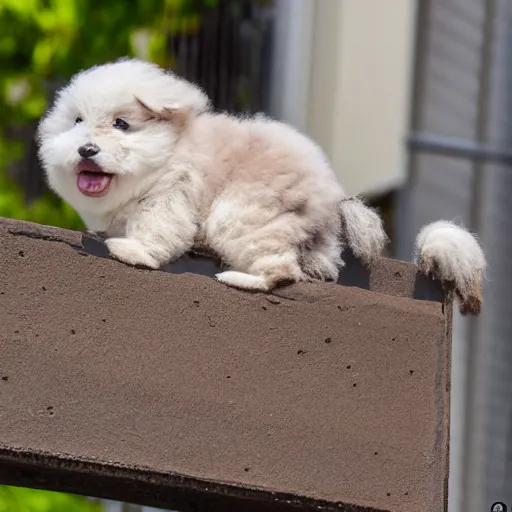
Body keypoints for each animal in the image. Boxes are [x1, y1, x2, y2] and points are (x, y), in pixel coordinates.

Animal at [38, 59, 486, 314]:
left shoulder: (170, 196)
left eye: (121, 124)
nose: (86, 149)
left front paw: (131, 252)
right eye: (76, 122)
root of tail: (331, 203)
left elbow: (155, 232)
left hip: (241, 217)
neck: (165, 154)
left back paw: (239, 279)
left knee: (281, 273)